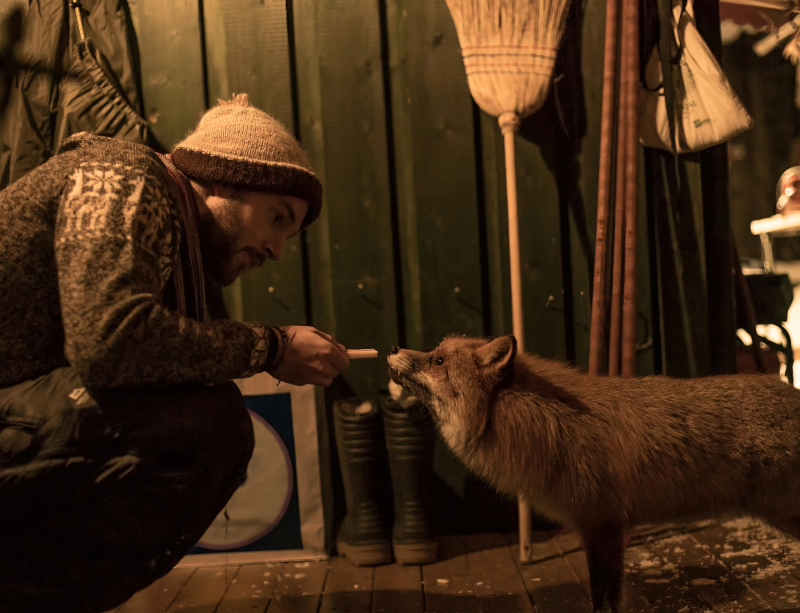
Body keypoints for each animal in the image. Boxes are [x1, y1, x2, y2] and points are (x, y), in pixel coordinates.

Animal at [388, 334, 800, 612]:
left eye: (438, 361)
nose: (392, 349)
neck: (547, 425)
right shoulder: (598, 526)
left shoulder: (603, 524)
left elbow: (604, 596)